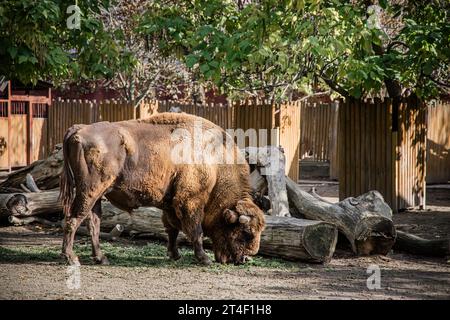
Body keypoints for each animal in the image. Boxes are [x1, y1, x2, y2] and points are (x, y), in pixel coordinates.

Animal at [59, 112, 264, 264]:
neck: (215, 161)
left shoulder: (170, 204)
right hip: (89, 191)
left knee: (93, 223)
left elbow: (172, 229)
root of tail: (79, 129)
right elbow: (195, 230)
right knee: (73, 219)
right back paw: (71, 258)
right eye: (246, 233)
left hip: (97, 194)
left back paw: (101, 258)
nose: (243, 259)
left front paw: (175, 255)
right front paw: (204, 258)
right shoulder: (191, 201)